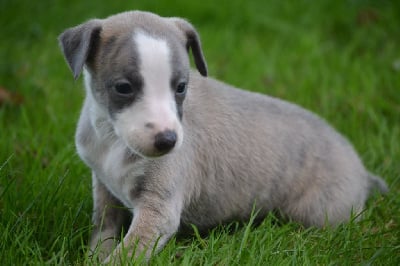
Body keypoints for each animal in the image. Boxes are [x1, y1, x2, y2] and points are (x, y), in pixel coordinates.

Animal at [57, 10, 388, 262]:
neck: (113, 138)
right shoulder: (105, 188)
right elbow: (103, 232)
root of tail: (362, 173)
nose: (168, 141)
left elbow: (125, 254)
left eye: (181, 87)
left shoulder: (158, 209)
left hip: (322, 212)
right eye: (123, 88)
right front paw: (93, 257)